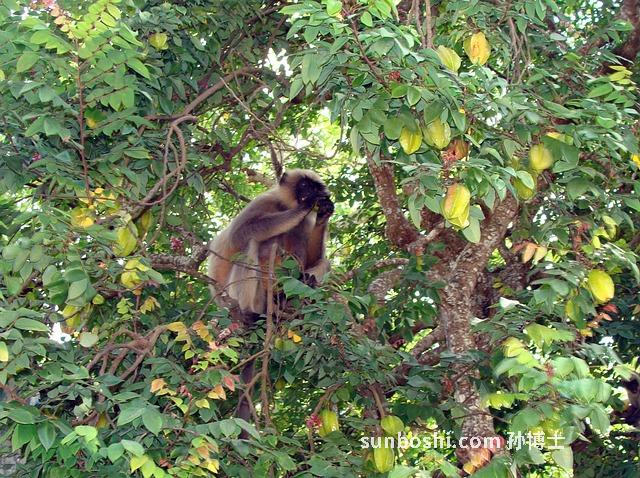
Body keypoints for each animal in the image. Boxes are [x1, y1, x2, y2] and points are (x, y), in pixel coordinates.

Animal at [207, 169, 334, 428]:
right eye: (304, 186)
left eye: (316, 187)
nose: (310, 193)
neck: (283, 205)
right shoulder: (263, 202)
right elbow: (240, 234)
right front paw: (305, 206)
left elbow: (313, 258)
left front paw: (323, 213)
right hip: (237, 295)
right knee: (251, 242)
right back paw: (250, 312)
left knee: (316, 260)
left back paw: (295, 295)